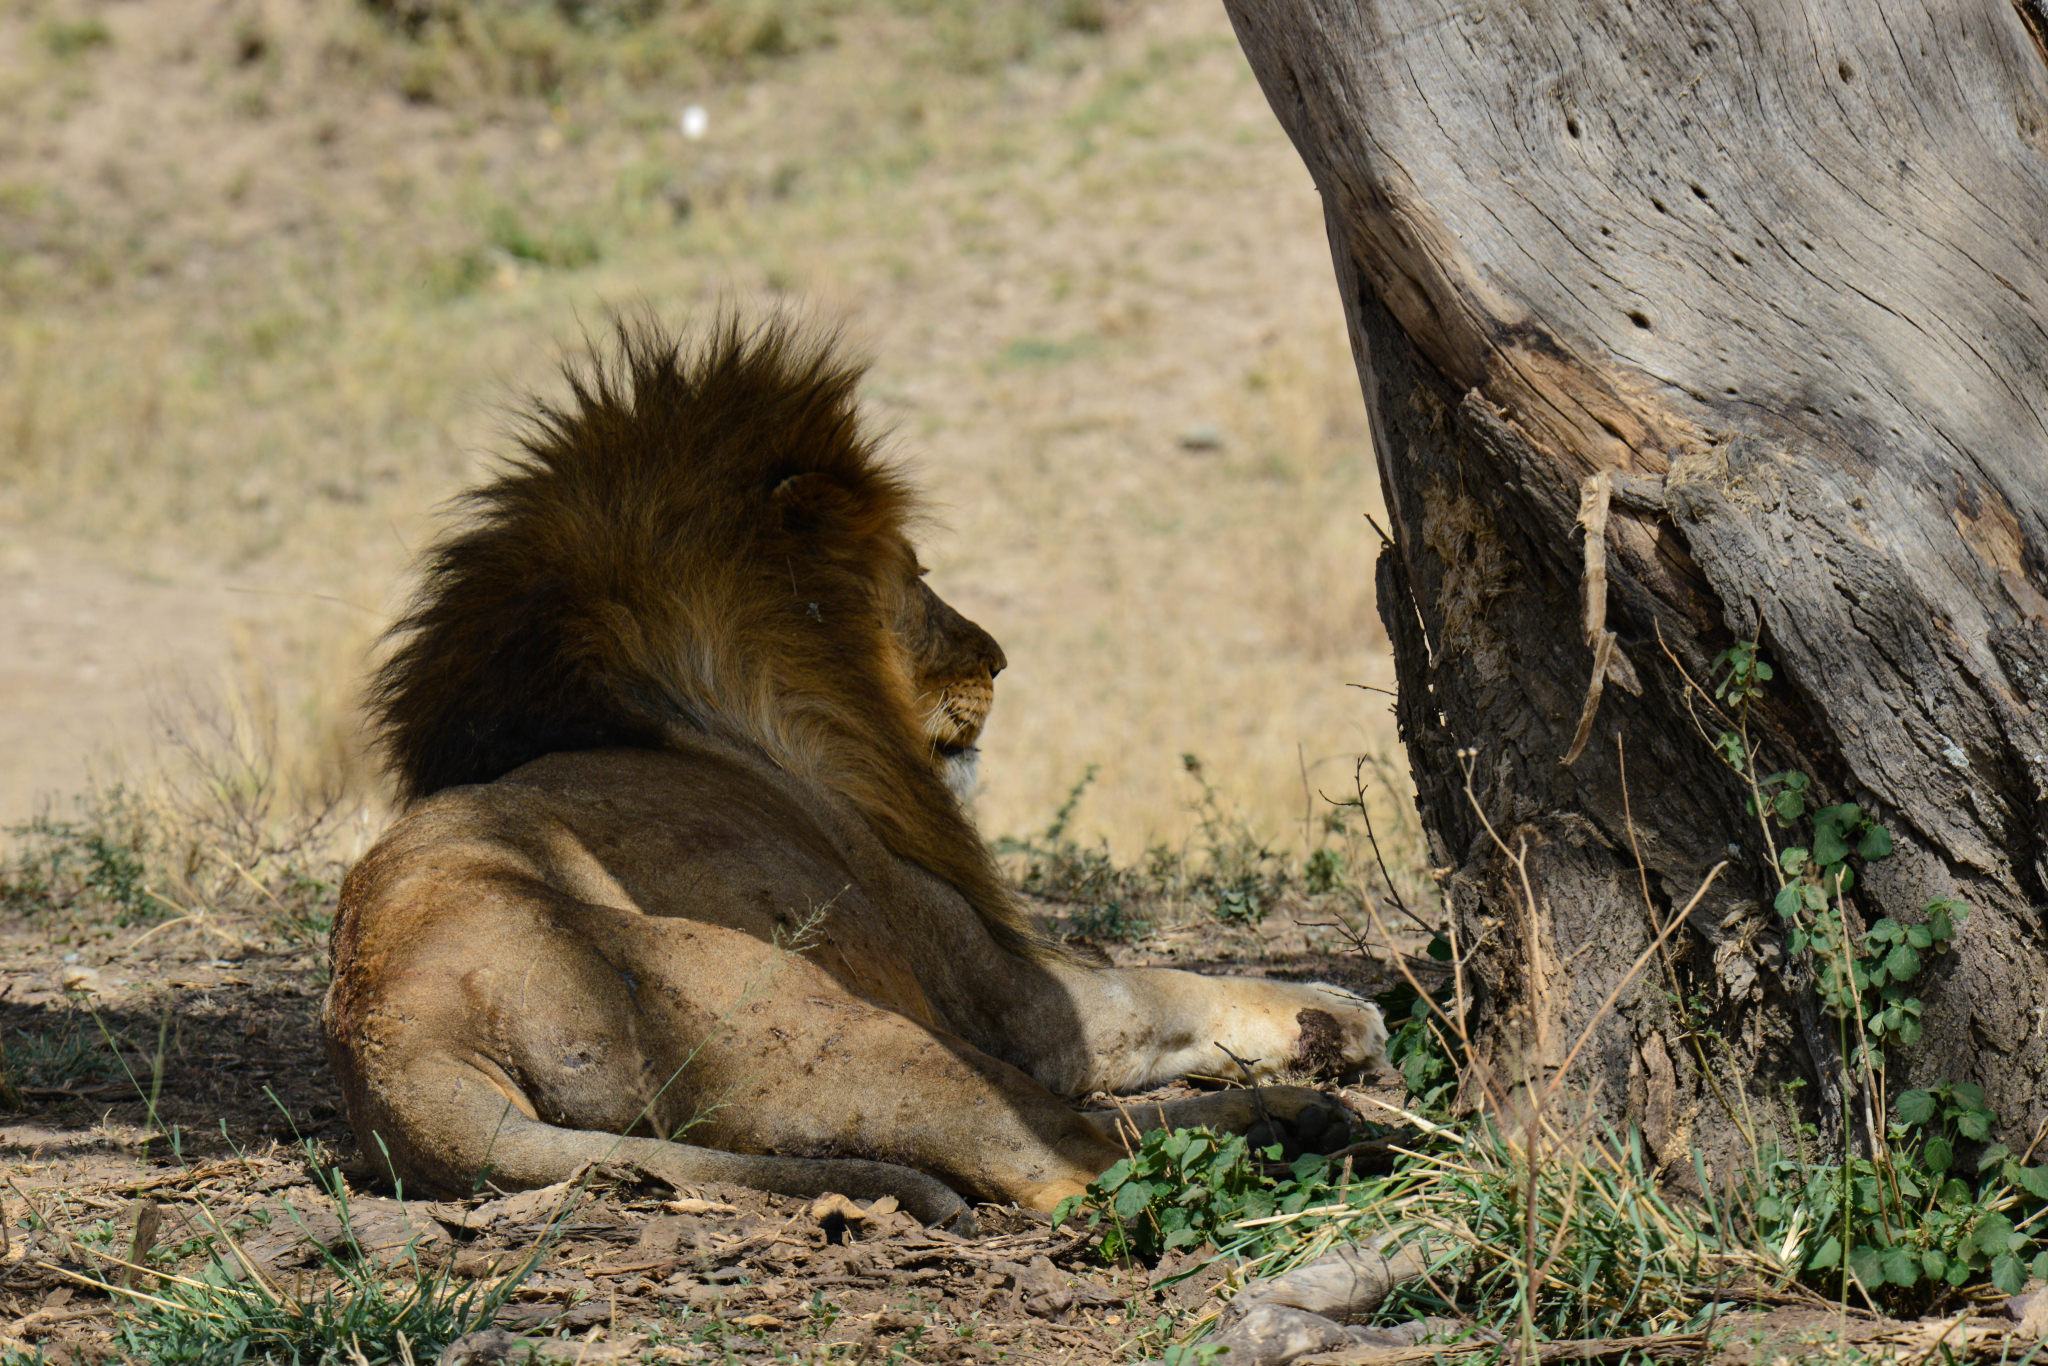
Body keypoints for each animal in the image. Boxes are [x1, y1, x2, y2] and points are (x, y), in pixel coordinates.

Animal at [327, 315, 1384, 1236]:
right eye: (916, 574)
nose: (997, 658)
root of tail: (400, 1043)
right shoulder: (1006, 996)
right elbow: (1159, 987)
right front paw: (1343, 1012)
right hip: (820, 1019)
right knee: (1073, 1162)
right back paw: (1301, 1143)